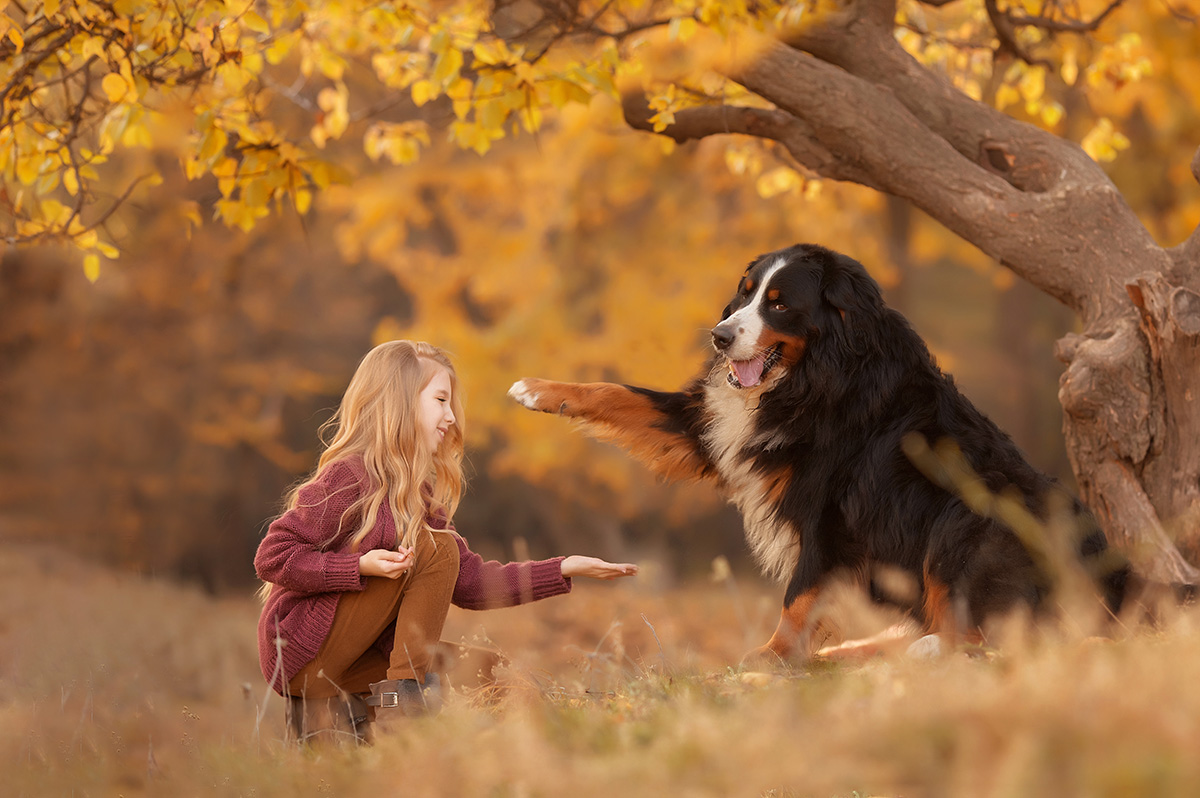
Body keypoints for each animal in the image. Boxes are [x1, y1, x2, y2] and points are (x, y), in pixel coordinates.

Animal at [506, 241, 1132, 657]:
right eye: (746, 294)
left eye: (781, 304)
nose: (720, 335)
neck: (817, 373)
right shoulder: (714, 427)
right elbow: (619, 394)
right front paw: (537, 390)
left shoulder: (831, 509)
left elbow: (800, 595)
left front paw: (767, 660)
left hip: (971, 521)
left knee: (989, 638)